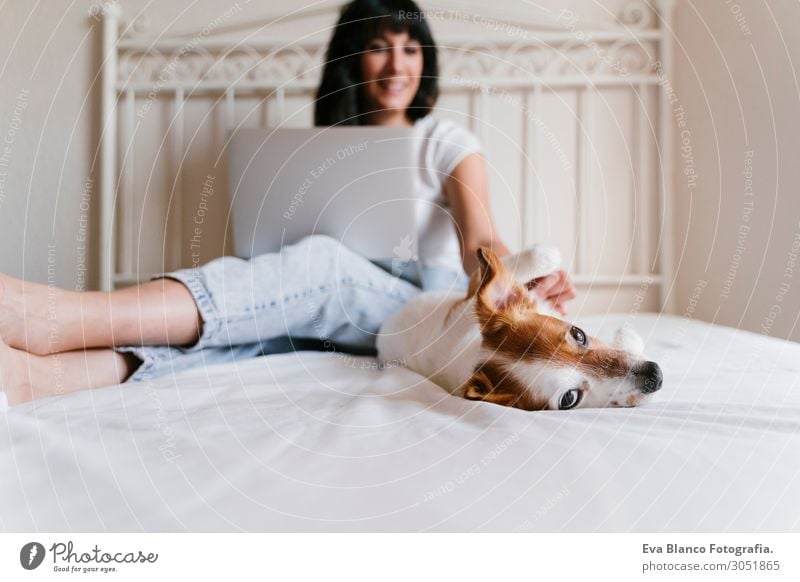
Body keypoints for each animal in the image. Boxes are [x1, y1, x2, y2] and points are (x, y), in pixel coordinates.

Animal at [376, 245, 664, 410]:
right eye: (569, 399)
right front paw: (627, 336)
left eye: (578, 334)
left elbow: (541, 254)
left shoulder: (470, 294)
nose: (655, 375)